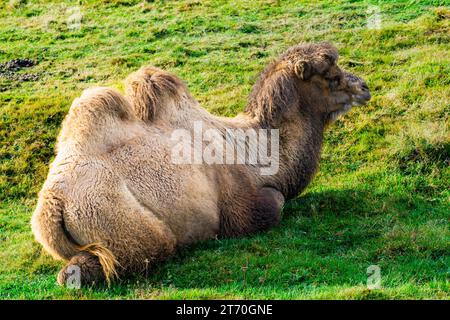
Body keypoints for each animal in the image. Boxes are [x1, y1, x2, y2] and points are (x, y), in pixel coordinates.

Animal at [30, 42, 370, 284]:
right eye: (331, 77)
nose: (364, 87)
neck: (255, 152)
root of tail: (52, 207)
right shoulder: (242, 206)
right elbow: (275, 203)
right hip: (119, 220)